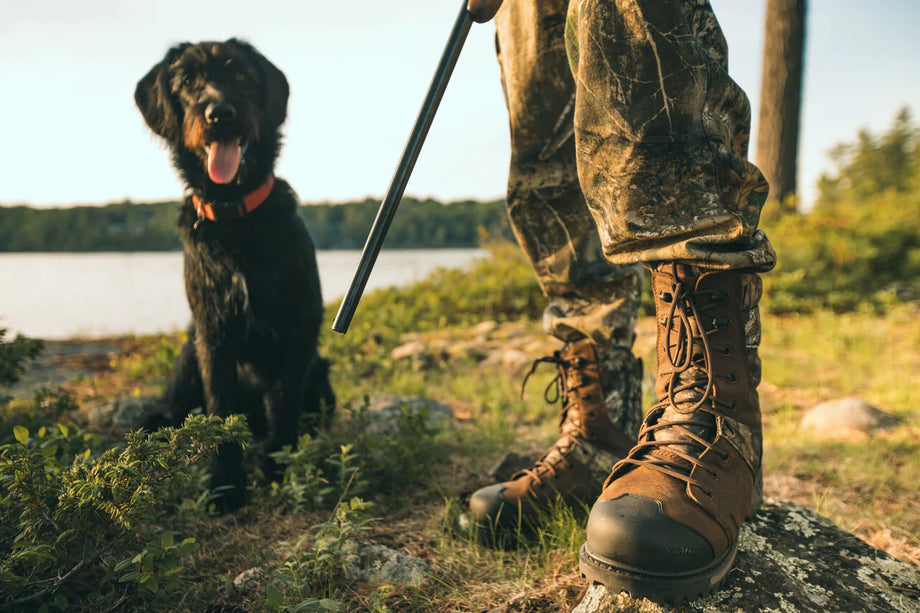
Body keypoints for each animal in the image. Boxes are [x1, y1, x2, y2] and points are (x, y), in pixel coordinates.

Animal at [135, 39, 336, 512]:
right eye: (188, 81)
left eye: (241, 74)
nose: (219, 114)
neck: (235, 216)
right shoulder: (213, 335)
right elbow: (220, 412)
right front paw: (226, 484)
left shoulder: (301, 327)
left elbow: (284, 401)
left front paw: (279, 465)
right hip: (189, 352)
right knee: (179, 410)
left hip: (320, 374)